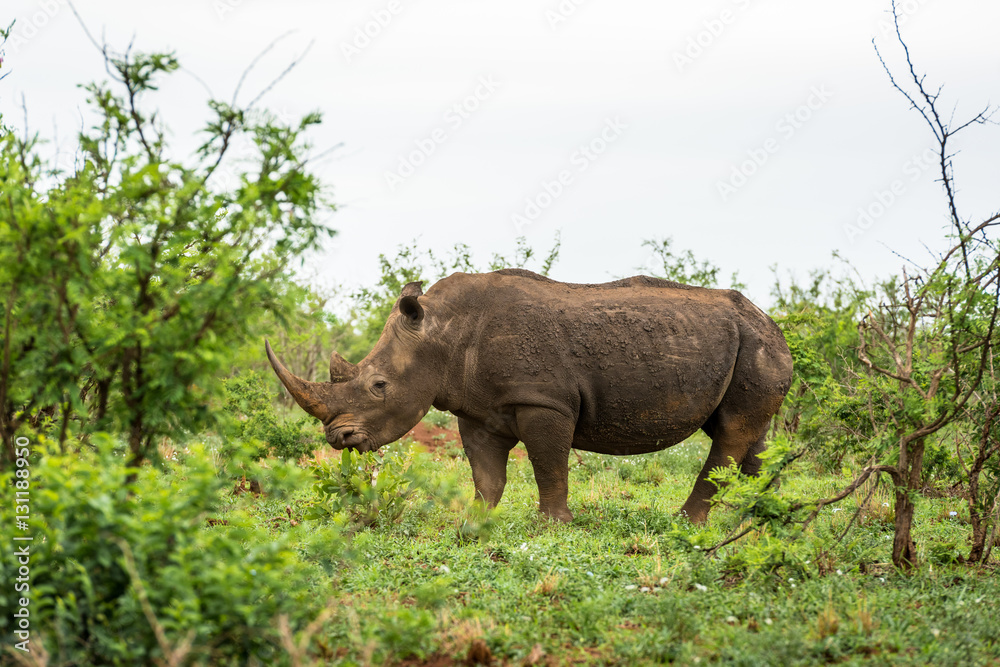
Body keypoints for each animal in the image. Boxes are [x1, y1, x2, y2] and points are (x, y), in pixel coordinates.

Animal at [266, 269, 793, 524]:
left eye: (379, 387)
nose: (338, 439)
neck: (443, 331)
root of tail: (774, 322)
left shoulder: (543, 400)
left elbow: (548, 464)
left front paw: (554, 526)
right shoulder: (478, 408)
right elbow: (486, 474)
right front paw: (474, 523)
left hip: (757, 345)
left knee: (731, 434)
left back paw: (687, 523)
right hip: (749, 346)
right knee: (750, 432)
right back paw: (760, 516)